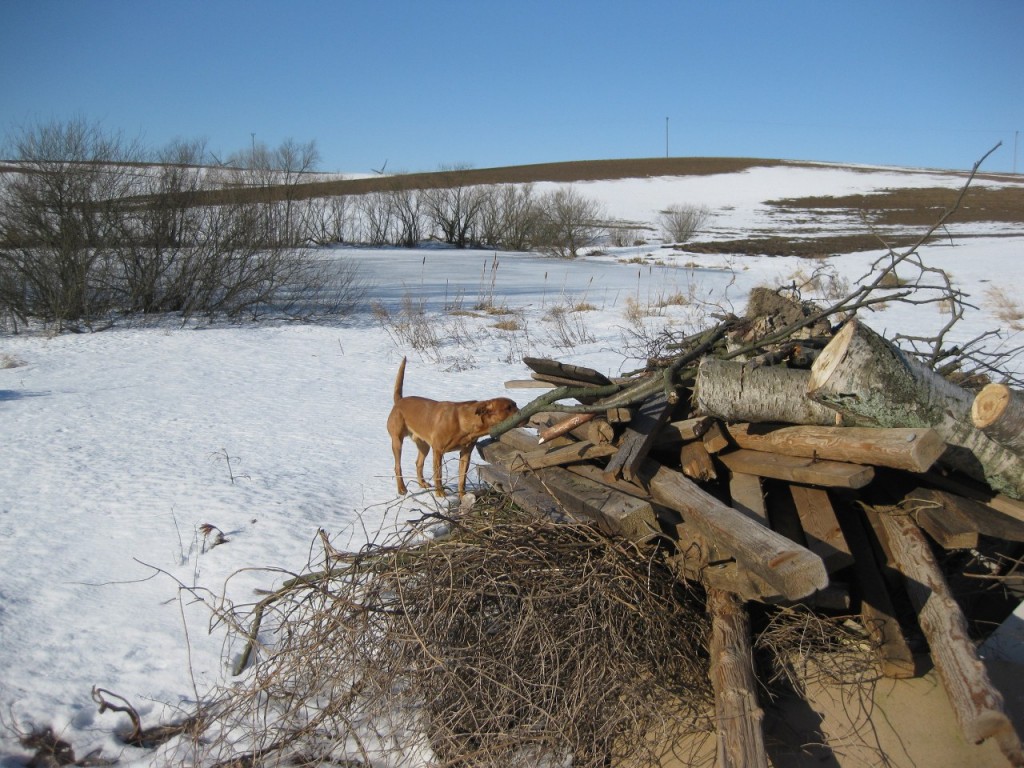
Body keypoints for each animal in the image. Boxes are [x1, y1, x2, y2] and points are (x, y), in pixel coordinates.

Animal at [389, 360, 520, 499]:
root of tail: (399, 401)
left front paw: (463, 496)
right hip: (397, 441)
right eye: (508, 408)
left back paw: (422, 483)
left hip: (424, 445)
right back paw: (402, 488)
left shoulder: (466, 453)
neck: (466, 424)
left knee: (418, 463)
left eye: (515, 405)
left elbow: (462, 478)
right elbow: (439, 474)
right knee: (397, 466)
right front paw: (440, 493)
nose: (522, 412)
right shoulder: (438, 451)